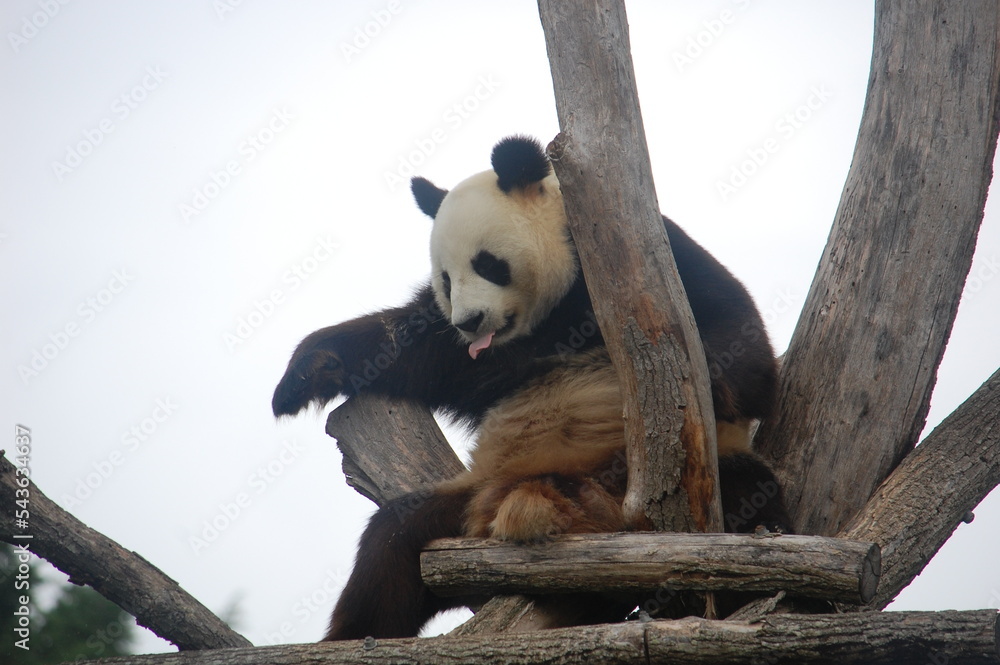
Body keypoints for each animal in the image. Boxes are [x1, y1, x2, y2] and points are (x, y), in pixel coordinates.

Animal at [272, 136, 791, 641]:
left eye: (487, 264)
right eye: (446, 279)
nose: (469, 321)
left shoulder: (650, 261)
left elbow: (742, 343)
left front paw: (714, 380)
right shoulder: (468, 350)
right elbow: (411, 346)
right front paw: (308, 372)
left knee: (751, 497)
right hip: (457, 504)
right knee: (390, 550)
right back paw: (354, 635)